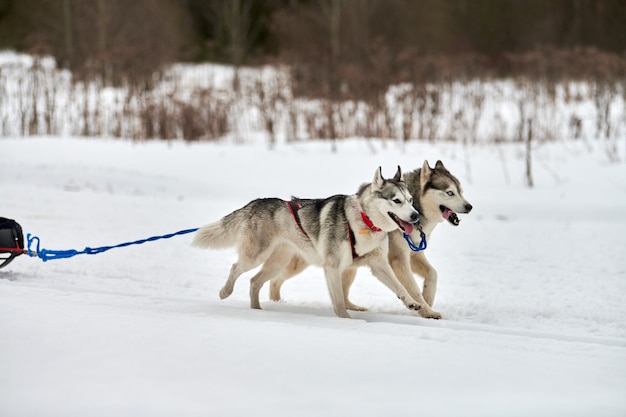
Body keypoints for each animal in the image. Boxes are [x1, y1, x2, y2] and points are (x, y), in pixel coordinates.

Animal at [191, 166, 424, 318]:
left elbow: (400, 286)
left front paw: (412, 302)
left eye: (411, 200)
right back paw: (225, 292)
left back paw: (258, 311)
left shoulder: (378, 264)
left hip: (277, 263)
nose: (415, 216)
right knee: (235, 268)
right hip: (255, 256)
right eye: (397, 201)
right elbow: (339, 302)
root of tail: (257, 202)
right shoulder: (332, 267)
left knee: (254, 281)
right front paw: (347, 321)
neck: (364, 221)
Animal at [266, 160, 468, 318]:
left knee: (343, 293)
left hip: (348, 267)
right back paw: (276, 303)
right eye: (450, 193)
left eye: (461, 191)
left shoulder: (410, 254)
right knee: (275, 280)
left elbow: (432, 274)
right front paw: (427, 311)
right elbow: (414, 288)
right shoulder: (398, 260)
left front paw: (428, 300)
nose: (469, 206)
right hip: (301, 264)